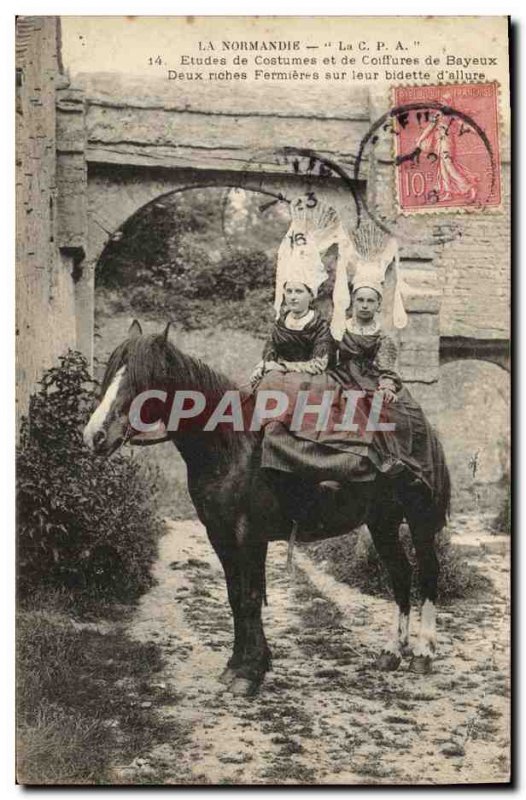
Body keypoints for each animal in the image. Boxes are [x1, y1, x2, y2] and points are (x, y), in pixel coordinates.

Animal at [84, 322, 452, 696]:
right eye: (112, 373)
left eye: (142, 380)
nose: (94, 435)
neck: (232, 445)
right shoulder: (220, 535)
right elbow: (234, 596)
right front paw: (237, 665)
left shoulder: (250, 536)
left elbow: (250, 597)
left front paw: (250, 672)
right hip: (382, 523)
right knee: (401, 575)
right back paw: (392, 652)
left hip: (419, 521)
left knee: (428, 574)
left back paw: (423, 653)